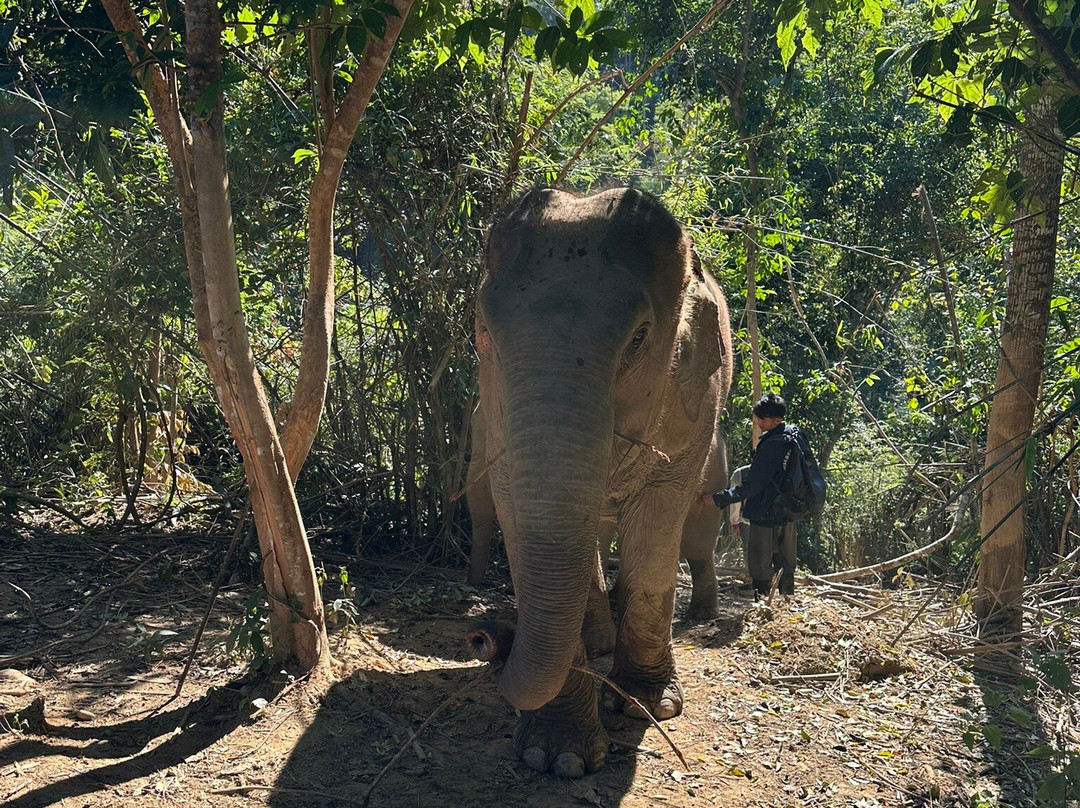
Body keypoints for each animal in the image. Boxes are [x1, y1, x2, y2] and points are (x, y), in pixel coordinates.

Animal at [473, 186, 733, 777]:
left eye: (638, 339)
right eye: (484, 334)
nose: (486, 638)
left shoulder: (694, 405)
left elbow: (659, 519)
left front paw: (647, 705)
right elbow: (514, 505)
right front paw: (557, 758)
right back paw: (596, 646)